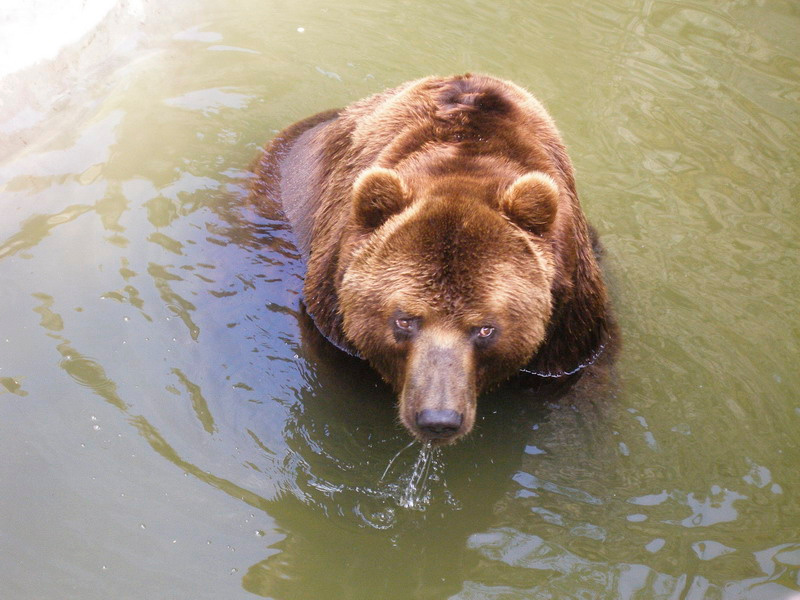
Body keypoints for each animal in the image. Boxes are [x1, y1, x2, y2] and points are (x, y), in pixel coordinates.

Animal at [252, 73, 613, 444]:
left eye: (485, 328)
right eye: (404, 320)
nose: (438, 418)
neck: (465, 160)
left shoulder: (569, 320)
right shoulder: (333, 312)